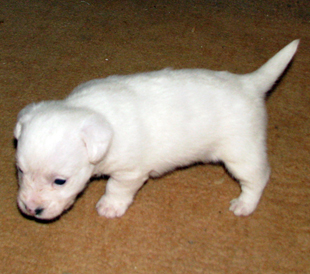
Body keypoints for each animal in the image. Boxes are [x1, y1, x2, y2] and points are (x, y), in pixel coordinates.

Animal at [13, 40, 298, 220]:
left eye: (60, 181)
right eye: (21, 171)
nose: (30, 209)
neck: (94, 112)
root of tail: (249, 83)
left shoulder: (129, 173)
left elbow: (116, 188)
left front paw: (109, 207)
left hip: (241, 153)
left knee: (258, 178)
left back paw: (244, 205)